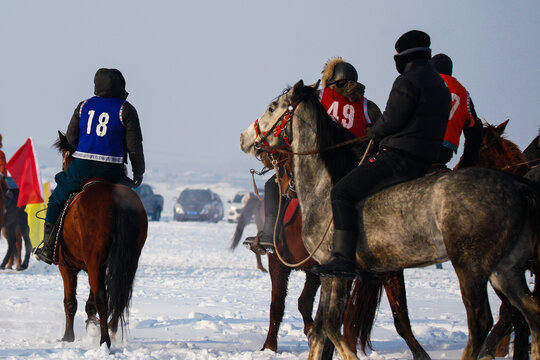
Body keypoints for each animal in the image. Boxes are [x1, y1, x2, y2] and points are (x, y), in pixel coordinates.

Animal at [52, 133, 148, 348]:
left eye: (65, 156)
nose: (63, 169)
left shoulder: (67, 266)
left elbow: (70, 302)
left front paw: (68, 337)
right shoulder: (95, 266)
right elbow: (89, 303)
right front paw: (91, 326)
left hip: (94, 262)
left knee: (102, 297)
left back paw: (105, 340)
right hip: (127, 261)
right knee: (119, 295)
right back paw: (110, 331)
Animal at [240, 81, 540, 360]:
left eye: (272, 107)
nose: (244, 137)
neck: (325, 185)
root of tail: (519, 186)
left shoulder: (335, 271)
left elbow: (331, 326)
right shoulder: (335, 271)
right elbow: (326, 328)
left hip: (472, 265)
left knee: (481, 321)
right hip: (506, 268)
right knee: (531, 312)